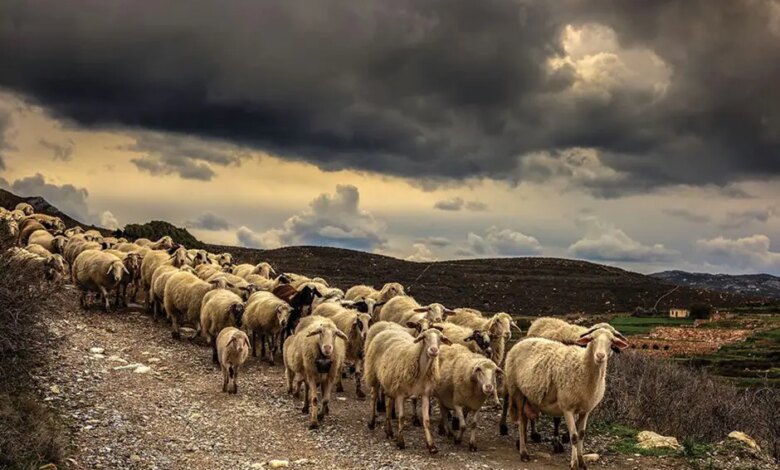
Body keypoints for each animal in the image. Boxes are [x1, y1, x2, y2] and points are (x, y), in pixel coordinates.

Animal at [364, 324, 450, 454]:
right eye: (424, 337)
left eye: (441, 338)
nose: (434, 350)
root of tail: (387, 329)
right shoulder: (400, 394)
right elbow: (401, 418)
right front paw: (401, 442)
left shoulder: (425, 394)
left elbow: (426, 420)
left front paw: (431, 446)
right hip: (374, 374)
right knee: (373, 396)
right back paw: (371, 423)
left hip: (389, 382)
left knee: (388, 405)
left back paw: (389, 431)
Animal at [502, 324, 632, 468]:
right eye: (592, 339)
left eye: (611, 341)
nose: (600, 356)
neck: (583, 367)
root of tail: (520, 342)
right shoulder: (567, 408)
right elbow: (574, 436)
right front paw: (574, 464)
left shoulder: (585, 410)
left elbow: (581, 435)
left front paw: (582, 462)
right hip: (516, 390)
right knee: (520, 422)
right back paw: (524, 453)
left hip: (527, 396)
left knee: (524, 420)